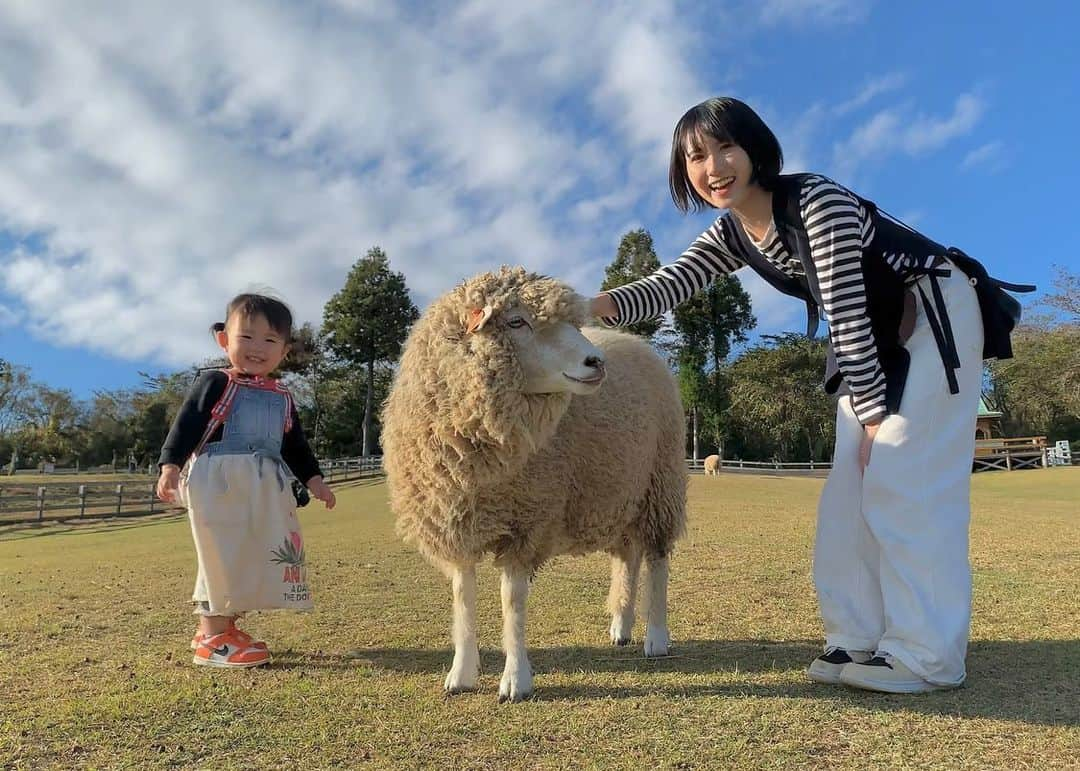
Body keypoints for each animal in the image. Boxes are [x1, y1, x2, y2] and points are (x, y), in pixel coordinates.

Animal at [380, 267, 682, 699]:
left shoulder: (526, 521)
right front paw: (461, 674)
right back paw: (621, 627)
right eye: (516, 322)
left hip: (661, 484)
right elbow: (463, 598)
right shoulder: (458, 522)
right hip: (619, 491)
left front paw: (516, 679)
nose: (596, 362)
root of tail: (635, 341)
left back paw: (656, 636)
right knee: (628, 557)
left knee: (657, 560)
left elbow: (512, 601)